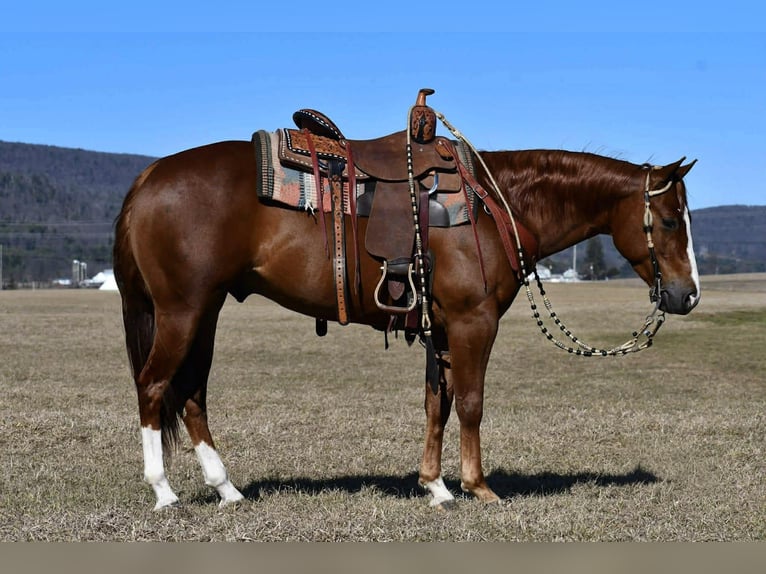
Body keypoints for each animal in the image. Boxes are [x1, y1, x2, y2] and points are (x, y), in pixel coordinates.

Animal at [113, 132, 699, 510]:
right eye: (671, 220)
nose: (688, 295)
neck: (497, 205)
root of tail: (149, 176)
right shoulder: (472, 322)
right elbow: (471, 402)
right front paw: (478, 486)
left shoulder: (439, 329)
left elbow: (436, 403)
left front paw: (434, 486)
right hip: (183, 310)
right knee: (154, 385)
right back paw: (163, 491)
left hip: (205, 311)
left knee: (191, 392)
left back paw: (226, 489)